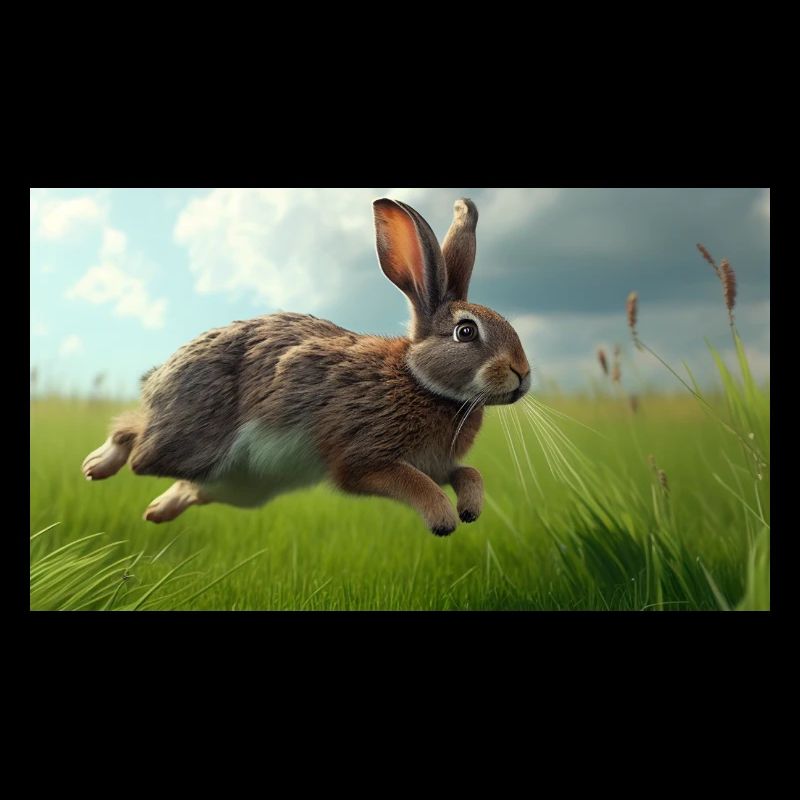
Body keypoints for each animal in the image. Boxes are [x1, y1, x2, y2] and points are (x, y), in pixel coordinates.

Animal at [81, 197, 531, 535]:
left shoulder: (438, 464)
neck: (420, 380)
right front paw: (442, 518)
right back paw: (97, 465)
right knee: (136, 440)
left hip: (241, 488)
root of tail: (160, 375)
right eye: (465, 332)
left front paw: (470, 509)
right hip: (191, 443)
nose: (523, 375)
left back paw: (157, 511)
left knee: (190, 487)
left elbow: (468, 473)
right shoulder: (363, 458)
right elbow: (411, 482)